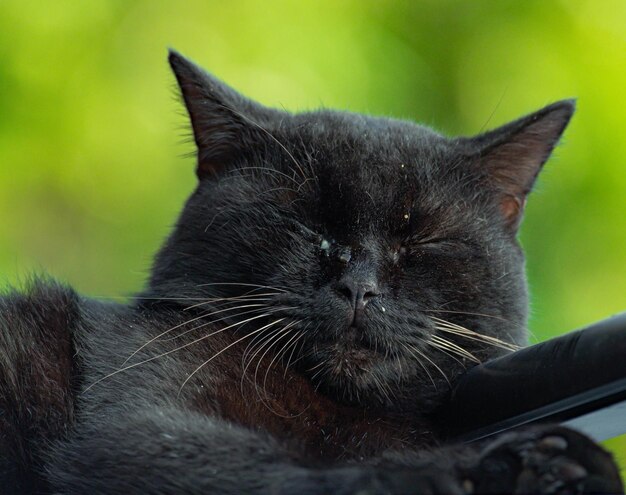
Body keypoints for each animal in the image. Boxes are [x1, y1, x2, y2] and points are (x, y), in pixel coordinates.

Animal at [0, 51, 620, 495]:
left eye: (419, 241)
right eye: (308, 226)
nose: (359, 288)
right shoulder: (136, 429)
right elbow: (278, 468)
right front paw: (490, 468)